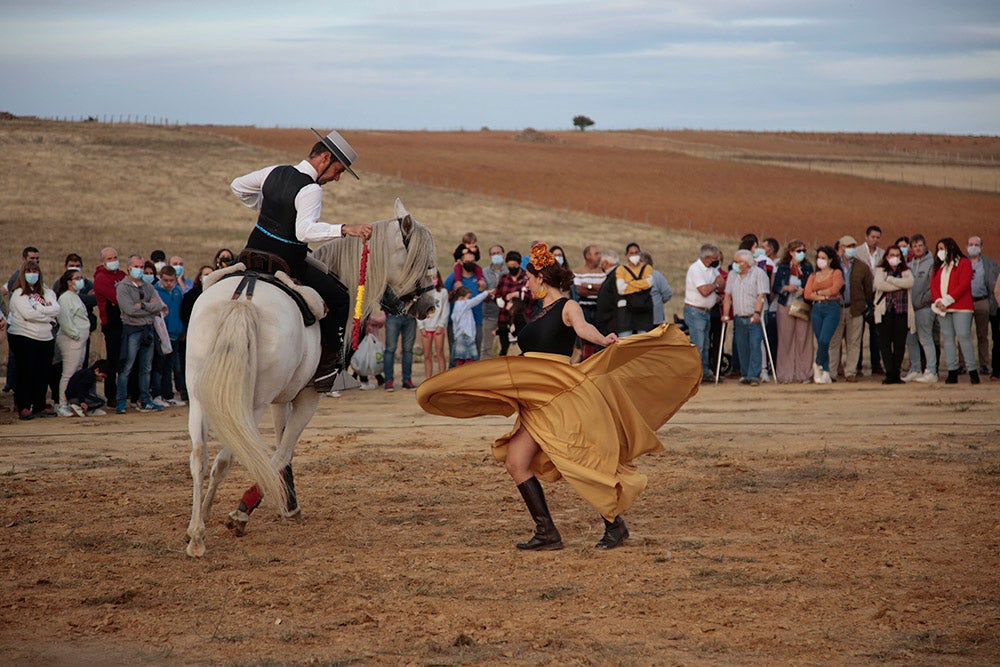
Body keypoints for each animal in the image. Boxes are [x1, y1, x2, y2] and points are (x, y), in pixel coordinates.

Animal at [186, 200, 436, 560]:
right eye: (427, 263)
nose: (430, 306)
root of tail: (244, 296)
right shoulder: (308, 397)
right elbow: (281, 453)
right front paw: (245, 510)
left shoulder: (282, 398)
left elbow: (281, 450)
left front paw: (286, 503)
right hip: (251, 402)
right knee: (226, 456)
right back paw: (208, 524)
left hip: (199, 394)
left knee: (200, 456)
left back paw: (197, 527)